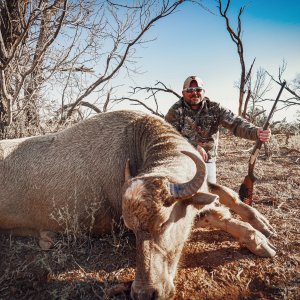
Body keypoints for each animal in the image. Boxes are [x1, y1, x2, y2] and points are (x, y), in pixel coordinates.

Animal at [0, 110, 276, 300]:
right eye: (132, 230)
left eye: (163, 225)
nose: (145, 293)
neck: (133, 139)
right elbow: (215, 214)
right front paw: (258, 240)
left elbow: (228, 195)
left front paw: (262, 223)